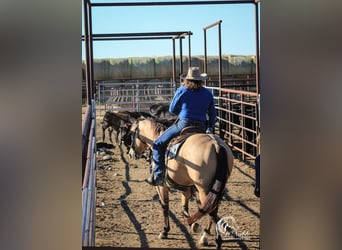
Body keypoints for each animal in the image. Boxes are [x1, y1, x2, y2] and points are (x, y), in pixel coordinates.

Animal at [126, 116, 235, 248]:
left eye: (132, 133)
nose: (131, 153)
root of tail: (216, 145)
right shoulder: (187, 187)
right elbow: (184, 207)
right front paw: (193, 224)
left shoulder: (161, 186)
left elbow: (165, 205)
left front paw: (165, 231)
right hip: (215, 188)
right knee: (211, 209)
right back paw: (205, 234)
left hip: (204, 189)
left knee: (211, 211)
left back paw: (215, 240)